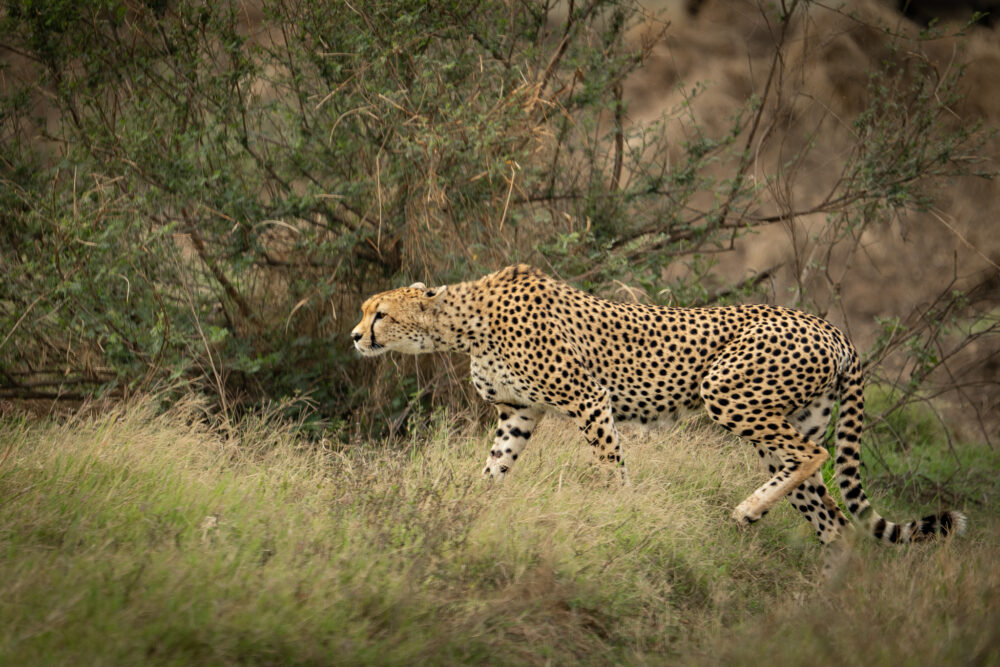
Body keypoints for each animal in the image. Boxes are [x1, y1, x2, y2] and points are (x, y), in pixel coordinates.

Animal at [354, 264, 968, 544]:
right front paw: (472, 511)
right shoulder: (518, 413)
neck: (463, 323)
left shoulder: (587, 399)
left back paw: (748, 510)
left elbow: (611, 465)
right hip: (789, 422)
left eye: (379, 313)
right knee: (831, 515)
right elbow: (493, 470)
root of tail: (832, 327)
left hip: (727, 390)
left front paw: (623, 511)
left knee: (812, 462)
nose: (356, 337)